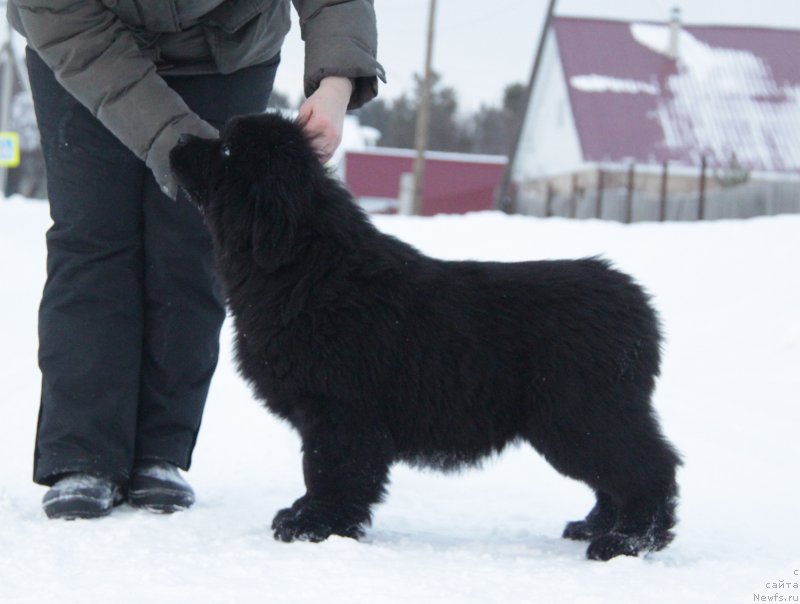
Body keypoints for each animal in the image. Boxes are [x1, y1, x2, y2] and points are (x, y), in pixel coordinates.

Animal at [170, 112, 680, 560]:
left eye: (228, 148)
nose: (176, 141)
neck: (307, 266)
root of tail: (638, 304)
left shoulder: (339, 411)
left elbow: (329, 470)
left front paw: (314, 526)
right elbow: (324, 471)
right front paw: (305, 515)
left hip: (582, 414)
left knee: (648, 469)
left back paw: (626, 542)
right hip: (585, 417)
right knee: (617, 477)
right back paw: (595, 526)